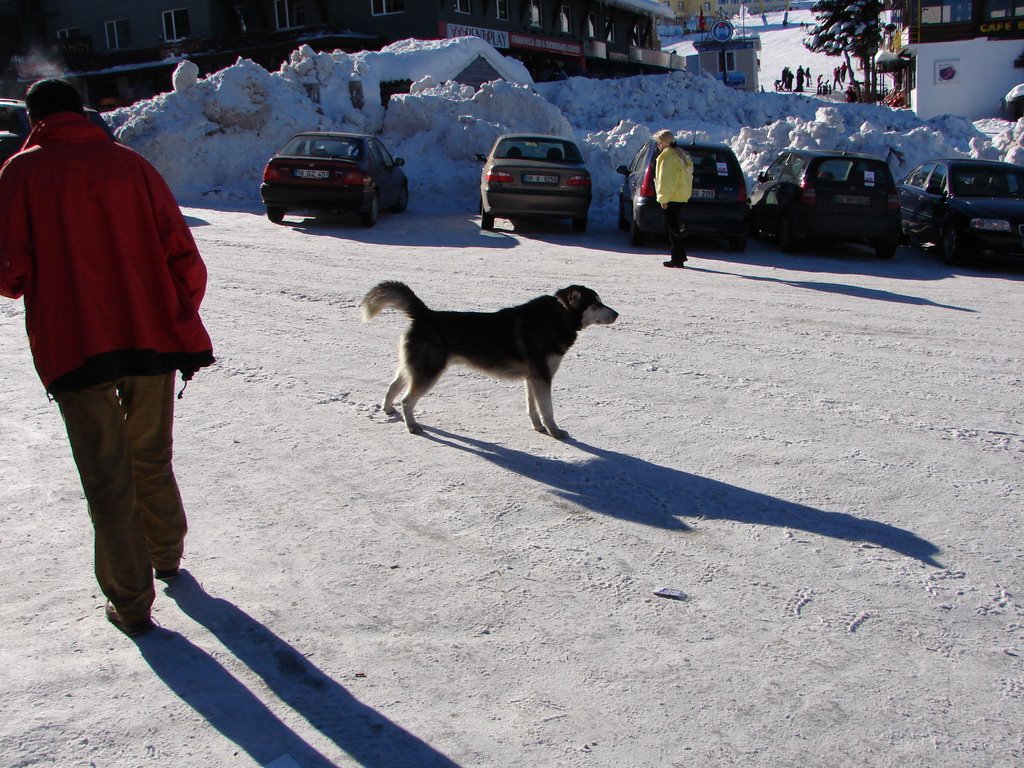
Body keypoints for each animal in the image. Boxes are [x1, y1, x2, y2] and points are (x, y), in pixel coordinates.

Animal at [360, 282, 614, 438]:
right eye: (596, 303)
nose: (617, 313)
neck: (559, 316)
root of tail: (426, 313)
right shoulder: (542, 377)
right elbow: (548, 410)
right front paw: (556, 432)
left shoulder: (532, 378)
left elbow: (532, 408)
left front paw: (538, 427)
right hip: (428, 372)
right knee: (407, 400)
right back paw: (412, 425)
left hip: (415, 367)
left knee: (393, 386)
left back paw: (388, 409)